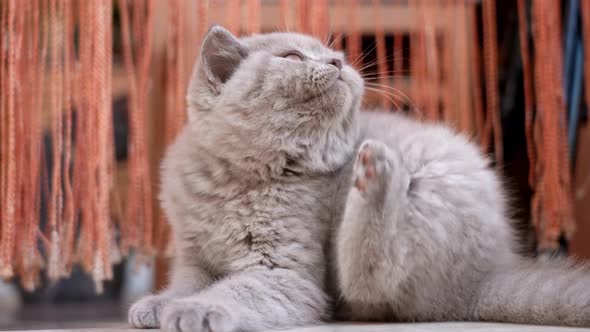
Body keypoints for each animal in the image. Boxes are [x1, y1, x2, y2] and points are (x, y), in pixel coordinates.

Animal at [130, 24, 590, 330]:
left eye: (335, 56)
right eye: (292, 57)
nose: (338, 62)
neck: (238, 180)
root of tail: (488, 272)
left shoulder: (285, 271)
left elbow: (240, 289)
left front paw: (195, 310)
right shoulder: (194, 255)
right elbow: (187, 282)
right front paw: (158, 304)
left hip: (428, 193)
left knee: (374, 283)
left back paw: (375, 176)